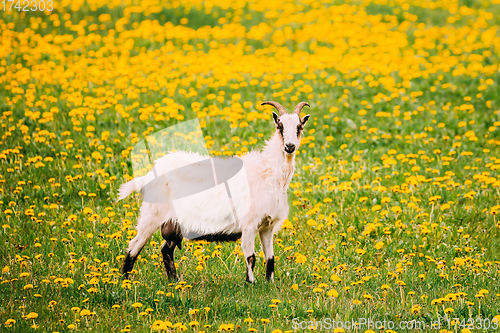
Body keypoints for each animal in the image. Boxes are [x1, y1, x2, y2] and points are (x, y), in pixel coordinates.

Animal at [119, 100, 310, 280]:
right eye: (280, 126)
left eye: (299, 127)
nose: (290, 146)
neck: (269, 173)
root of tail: (149, 174)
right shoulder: (249, 224)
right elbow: (251, 258)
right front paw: (250, 284)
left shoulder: (267, 226)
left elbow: (270, 259)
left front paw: (269, 284)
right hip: (152, 214)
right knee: (134, 245)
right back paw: (126, 281)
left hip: (173, 223)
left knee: (166, 250)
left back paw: (174, 281)